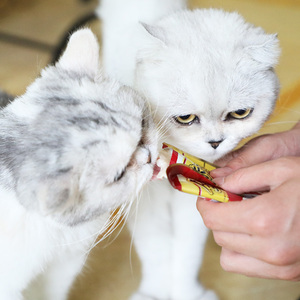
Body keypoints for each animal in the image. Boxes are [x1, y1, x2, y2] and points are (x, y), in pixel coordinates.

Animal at [99, 1, 282, 298]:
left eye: (240, 113)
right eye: (185, 118)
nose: (215, 142)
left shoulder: (192, 198)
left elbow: (187, 252)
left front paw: (187, 292)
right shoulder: (144, 200)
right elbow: (155, 249)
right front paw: (154, 292)